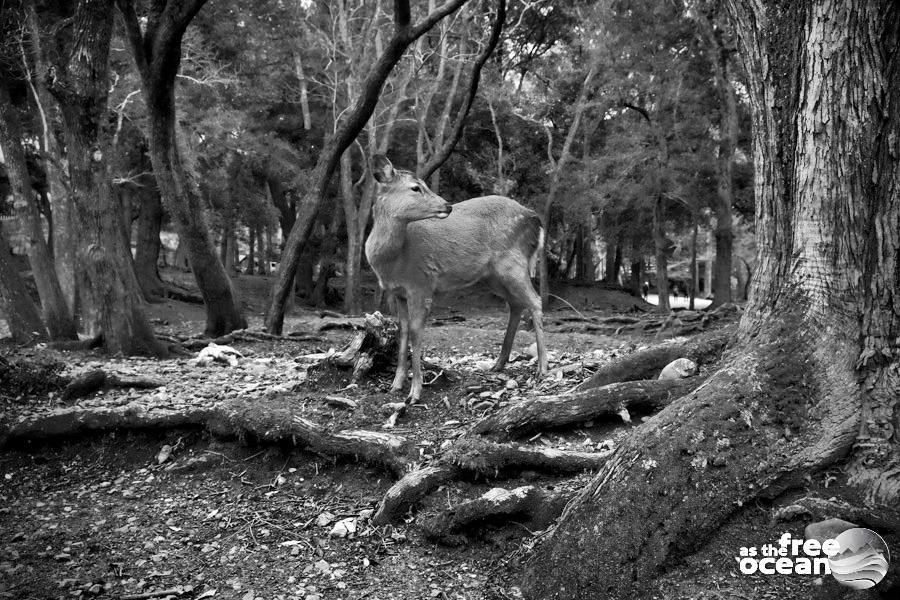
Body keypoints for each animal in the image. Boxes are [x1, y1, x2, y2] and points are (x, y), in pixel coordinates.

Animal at [366, 154, 548, 412]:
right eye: (415, 187)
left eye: (423, 184)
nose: (447, 205)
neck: (393, 259)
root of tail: (535, 218)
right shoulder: (396, 292)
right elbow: (402, 331)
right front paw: (396, 384)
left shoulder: (421, 283)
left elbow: (416, 332)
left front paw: (415, 393)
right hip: (492, 275)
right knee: (516, 303)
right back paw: (499, 363)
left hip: (513, 262)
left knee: (535, 300)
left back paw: (543, 367)